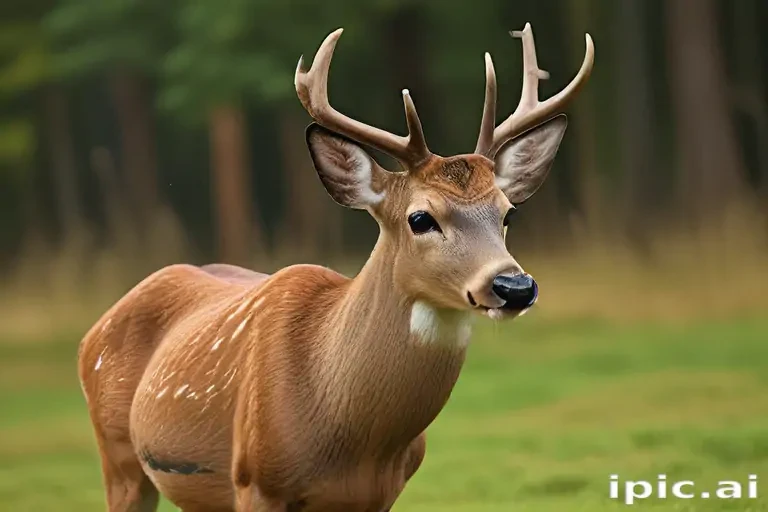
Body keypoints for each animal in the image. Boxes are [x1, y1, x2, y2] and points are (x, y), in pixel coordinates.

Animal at [78, 23, 593, 512]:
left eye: (508, 214)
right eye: (420, 218)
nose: (514, 285)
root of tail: (93, 332)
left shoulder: (381, 494)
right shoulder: (254, 480)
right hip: (119, 458)